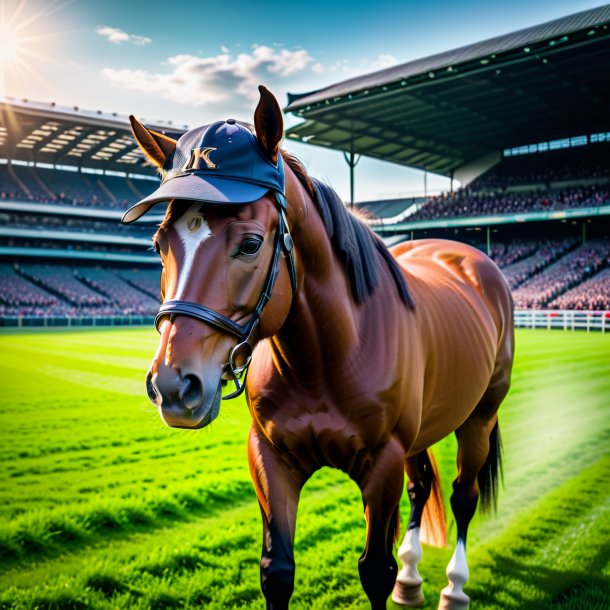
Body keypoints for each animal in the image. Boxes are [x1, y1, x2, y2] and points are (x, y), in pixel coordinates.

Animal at [123, 85, 512, 608]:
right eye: (160, 243)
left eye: (250, 244)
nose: (173, 386)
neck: (327, 358)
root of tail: (469, 256)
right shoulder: (271, 458)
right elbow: (277, 570)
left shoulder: (382, 465)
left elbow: (375, 571)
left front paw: (405, 576)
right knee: (421, 487)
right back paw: (413, 580)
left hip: (479, 417)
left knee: (462, 495)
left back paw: (454, 586)